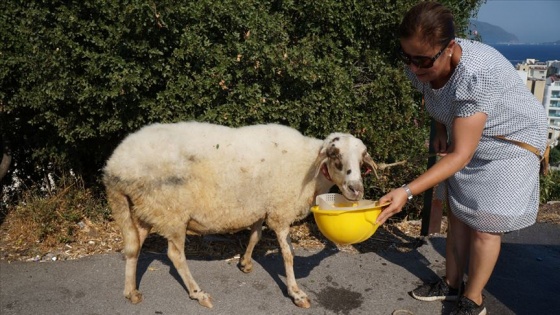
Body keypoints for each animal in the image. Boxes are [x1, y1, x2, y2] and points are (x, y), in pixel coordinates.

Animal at [102, 122, 378, 310]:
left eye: (362, 159)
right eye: (335, 155)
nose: (356, 189)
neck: (310, 169)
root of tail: (114, 167)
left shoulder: (259, 206)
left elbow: (255, 236)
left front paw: (245, 263)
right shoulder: (280, 210)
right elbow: (288, 254)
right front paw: (296, 292)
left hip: (143, 209)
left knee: (133, 247)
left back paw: (131, 292)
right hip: (172, 211)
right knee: (175, 255)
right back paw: (198, 292)